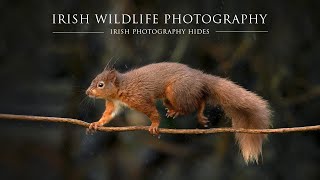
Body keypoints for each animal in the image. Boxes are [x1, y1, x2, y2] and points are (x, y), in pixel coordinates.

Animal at [85, 62, 270, 163]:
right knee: (198, 98)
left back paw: (195, 112)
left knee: (196, 102)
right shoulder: (113, 104)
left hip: (176, 91)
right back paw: (175, 111)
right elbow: (108, 115)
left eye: (100, 85)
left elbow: (151, 111)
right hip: (171, 96)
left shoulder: (139, 98)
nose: (87, 92)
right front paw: (96, 124)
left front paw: (154, 125)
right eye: (93, 81)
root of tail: (200, 78)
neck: (120, 89)